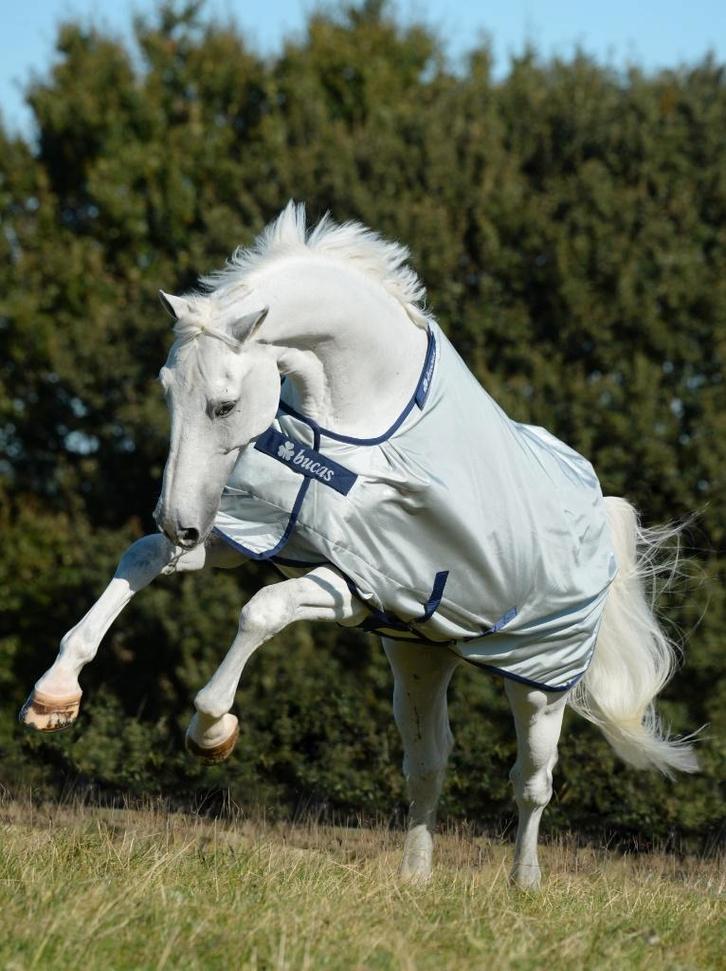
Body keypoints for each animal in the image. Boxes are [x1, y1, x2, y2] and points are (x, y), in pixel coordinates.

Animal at [20, 202, 698, 888]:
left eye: (224, 405)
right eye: (165, 391)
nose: (178, 522)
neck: (358, 421)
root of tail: (597, 506)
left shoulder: (358, 583)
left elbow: (261, 611)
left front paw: (211, 730)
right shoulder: (263, 532)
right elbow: (141, 559)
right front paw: (54, 695)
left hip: (539, 682)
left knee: (532, 783)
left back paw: (523, 883)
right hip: (420, 656)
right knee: (428, 764)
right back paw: (415, 878)